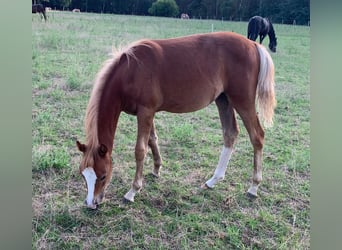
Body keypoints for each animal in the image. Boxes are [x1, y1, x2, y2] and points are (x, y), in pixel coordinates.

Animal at [75, 31, 276, 209]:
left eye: (103, 175)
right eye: (83, 175)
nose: (91, 204)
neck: (131, 72)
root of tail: (253, 44)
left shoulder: (145, 111)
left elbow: (140, 150)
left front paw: (133, 191)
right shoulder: (147, 112)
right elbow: (152, 140)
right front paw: (156, 169)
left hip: (242, 100)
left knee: (257, 136)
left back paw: (253, 187)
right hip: (223, 99)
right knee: (230, 134)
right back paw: (213, 180)